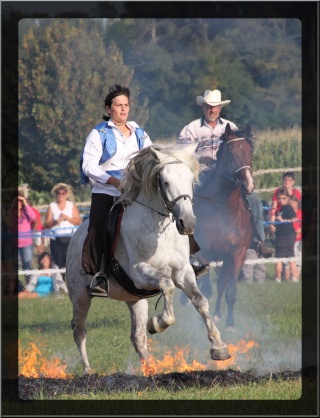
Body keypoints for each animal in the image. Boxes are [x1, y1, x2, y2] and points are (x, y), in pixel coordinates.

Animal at [192, 122, 255, 328]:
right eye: (231, 153)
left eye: (250, 151)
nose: (248, 185)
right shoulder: (204, 252)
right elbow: (205, 288)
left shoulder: (236, 255)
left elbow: (229, 290)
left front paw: (229, 321)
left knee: (221, 284)